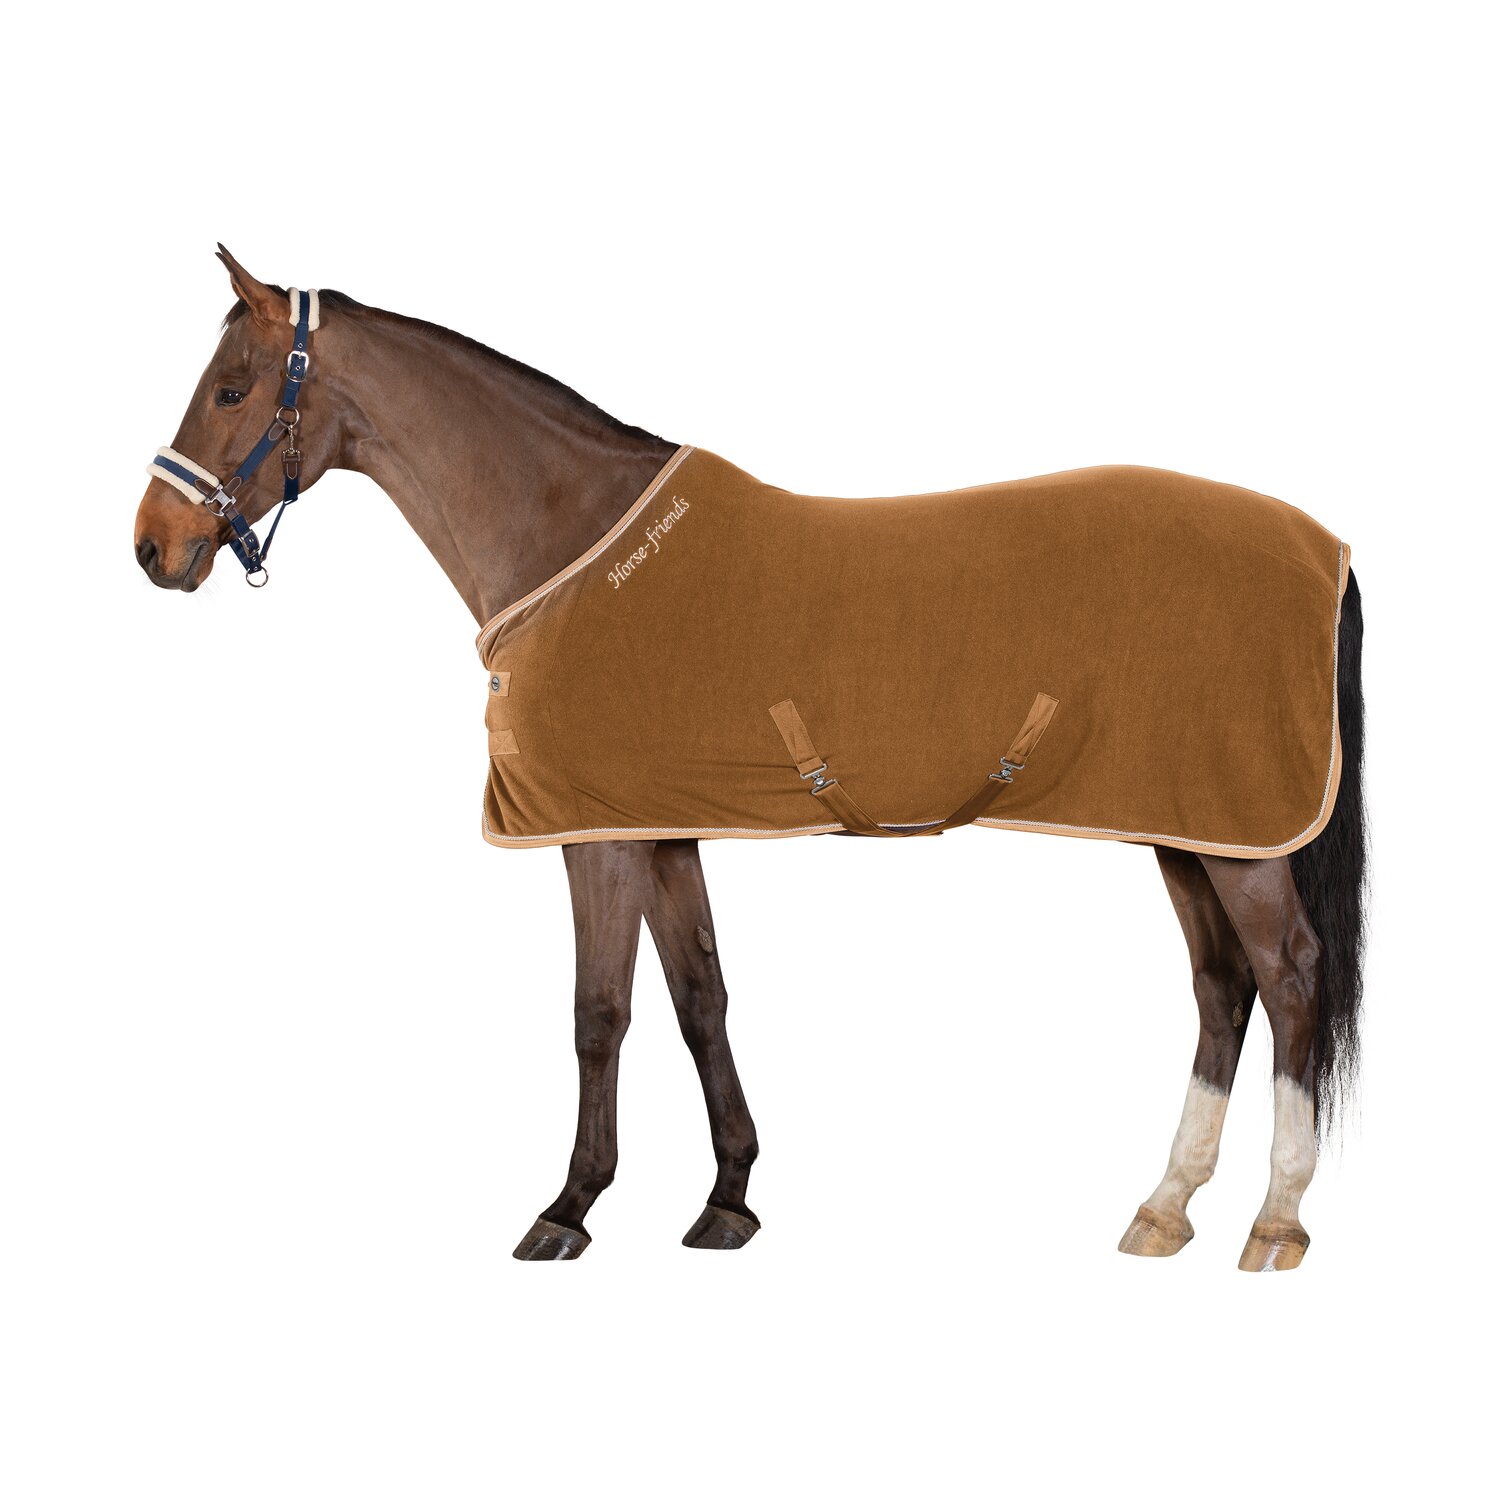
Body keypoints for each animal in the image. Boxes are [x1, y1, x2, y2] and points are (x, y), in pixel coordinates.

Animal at [134, 248, 1366, 1269]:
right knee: (1220, 986)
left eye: (232, 389)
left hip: (1240, 834)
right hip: (1185, 824)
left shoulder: (598, 834)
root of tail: (1324, 548)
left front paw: (568, 1208)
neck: (567, 537)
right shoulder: (664, 827)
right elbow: (701, 997)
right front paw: (728, 1199)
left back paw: (1275, 1222)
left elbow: (598, 1011)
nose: (155, 545)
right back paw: (1165, 1207)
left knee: (1290, 975)